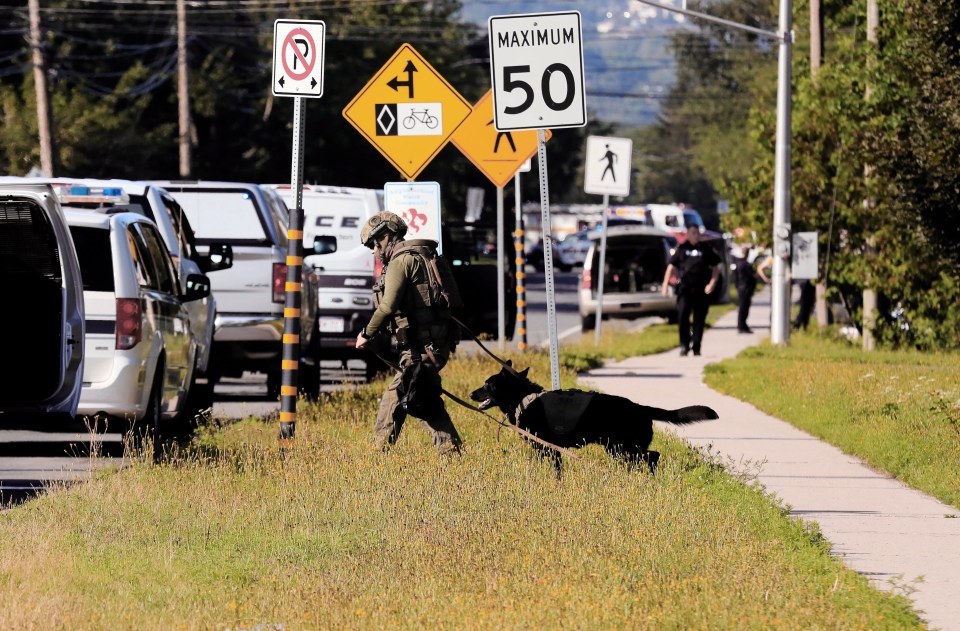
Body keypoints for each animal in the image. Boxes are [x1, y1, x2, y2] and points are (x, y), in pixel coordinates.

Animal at [470, 362, 720, 476]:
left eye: (487, 384)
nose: (470, 394)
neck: (523, 397)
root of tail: (640, 408)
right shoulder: (552, 450)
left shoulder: (547, 447)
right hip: (620, 449)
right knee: (649, 457)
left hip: (621, 448)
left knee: (652, 456)